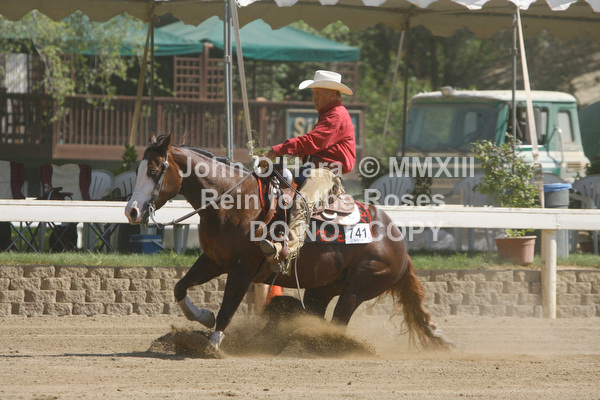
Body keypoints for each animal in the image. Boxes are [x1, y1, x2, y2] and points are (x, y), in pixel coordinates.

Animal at [124, 133, 454, 350]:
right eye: (138, 170)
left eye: (153, 171)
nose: (132, 211)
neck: (236, 202)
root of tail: (400, 246)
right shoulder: (214, 260)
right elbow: (180, 287)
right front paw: (203, 317)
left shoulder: (242, 269)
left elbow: (229, 306)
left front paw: (214, 345)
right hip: (324, 288)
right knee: (316, 314)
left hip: (358, 287)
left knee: (337, 323)